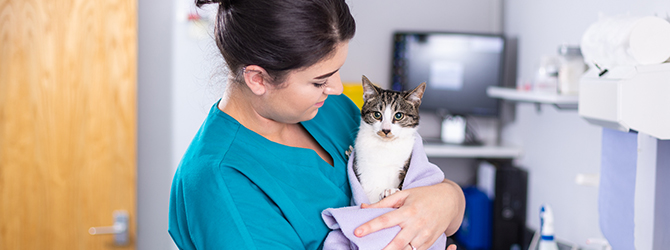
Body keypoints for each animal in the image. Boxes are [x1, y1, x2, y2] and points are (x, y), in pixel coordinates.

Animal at [354, 75, 428, 204]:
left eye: (398, 115)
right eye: (377, 114)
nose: (386, 130)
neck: (386, 146)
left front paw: (390, 191)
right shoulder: (363, 165)